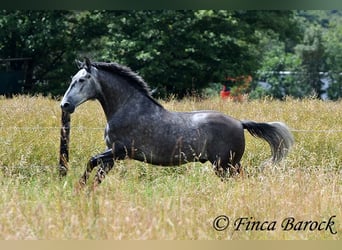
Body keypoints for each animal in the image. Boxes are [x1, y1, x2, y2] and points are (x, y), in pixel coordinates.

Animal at [60, 58, 292, 188]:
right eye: (72, 78)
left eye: (82, 80)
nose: (65, 105)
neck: (127, 108)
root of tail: (239, 123)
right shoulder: (112, 155)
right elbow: (97, 175)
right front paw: (83, 192)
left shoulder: (120, 151)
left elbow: (91, 161)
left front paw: (77, 188)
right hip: (230, 164)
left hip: (224, 165)